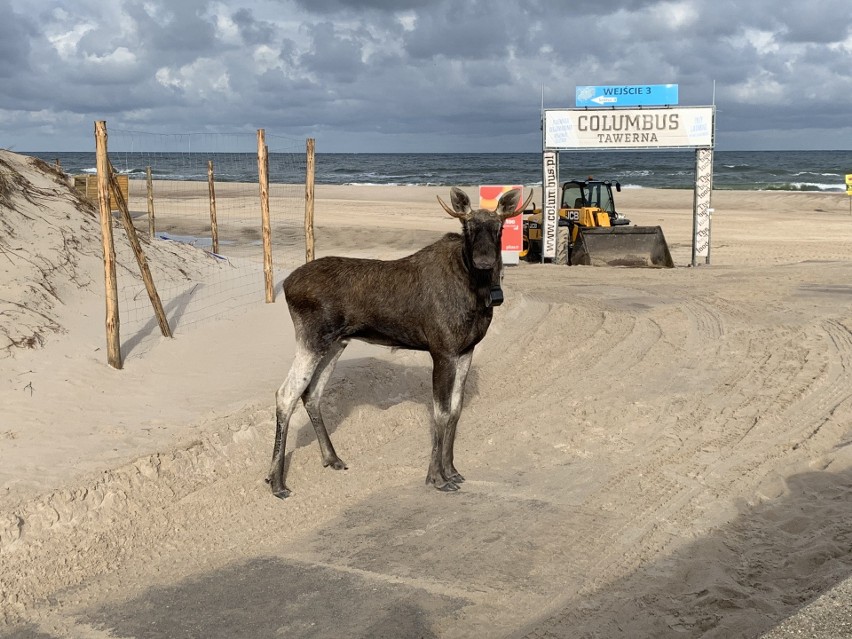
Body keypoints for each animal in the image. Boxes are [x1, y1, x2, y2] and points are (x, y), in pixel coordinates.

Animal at [270, 188, 528, 498]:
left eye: (499, 228)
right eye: (468, 228)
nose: (485, 261)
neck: (477, 293)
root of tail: (286, 285)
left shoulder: (466, 349)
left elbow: (456, 410)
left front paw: (452, 469)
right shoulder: (442, 350)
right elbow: (440, 413)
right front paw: (437, 477)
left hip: (335, 343)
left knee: (311, 393)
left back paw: (331, 458)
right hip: (311, 339)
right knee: (286, 395)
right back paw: (276, 481)